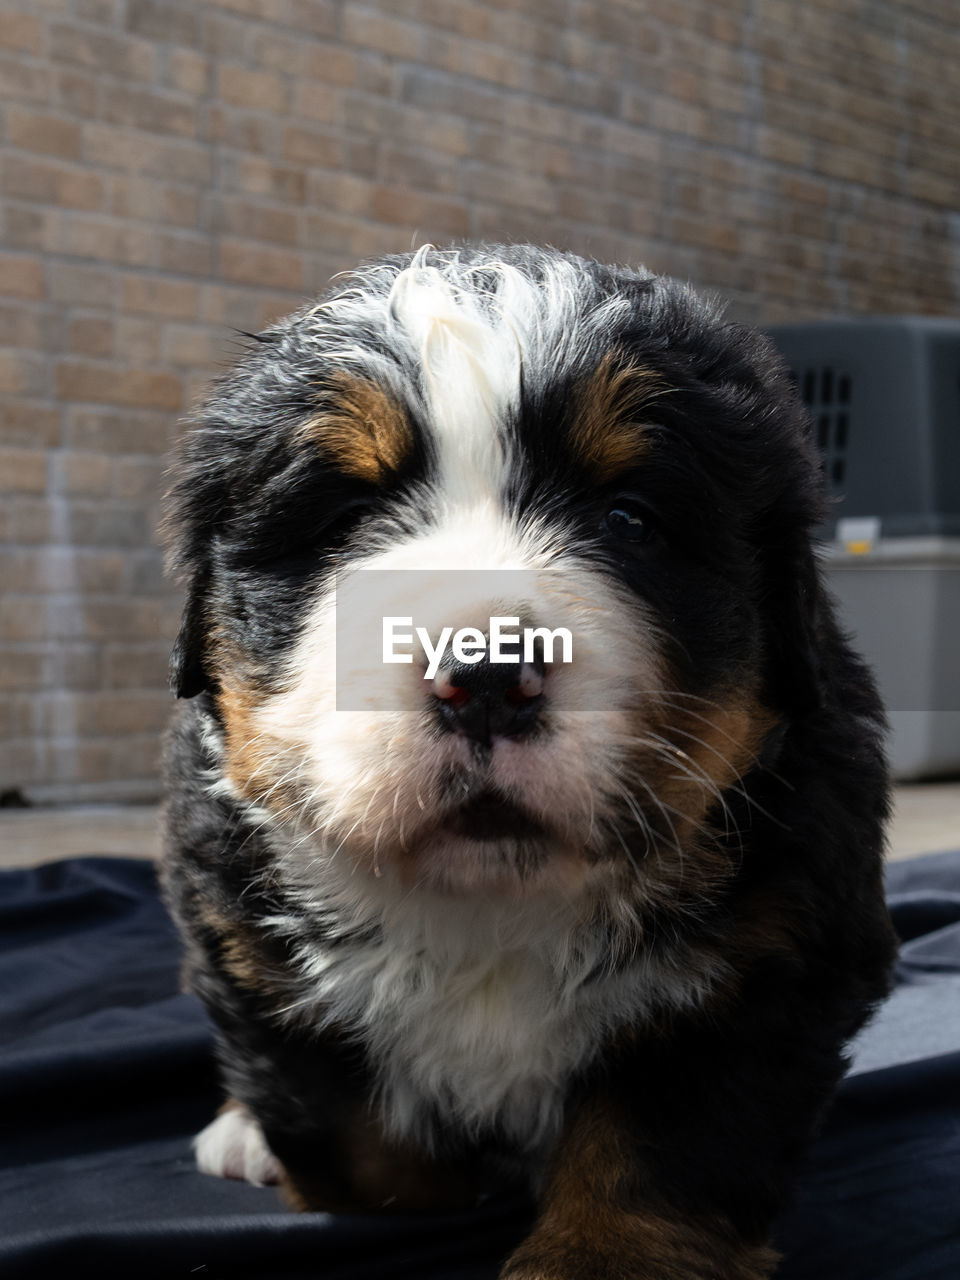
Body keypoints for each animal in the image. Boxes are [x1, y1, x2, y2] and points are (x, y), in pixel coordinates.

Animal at [161, 244, 901, 1274]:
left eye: (630, 519)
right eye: (346, 518)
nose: (486, 675)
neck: (493, 904)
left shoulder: (777, 946)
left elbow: (662, 1145)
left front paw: (605, 1256)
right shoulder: (242, 935)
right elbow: (362, 1151)